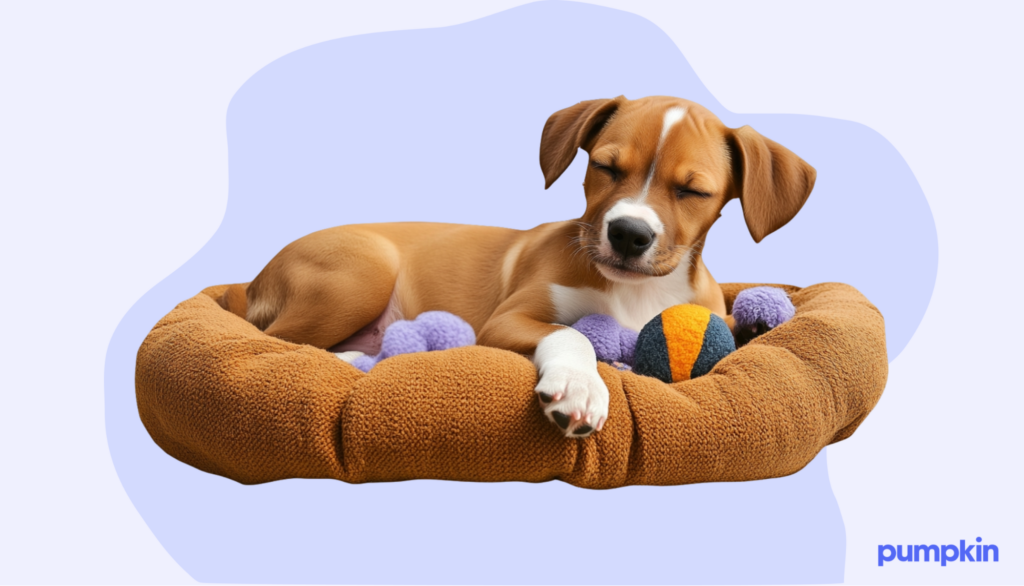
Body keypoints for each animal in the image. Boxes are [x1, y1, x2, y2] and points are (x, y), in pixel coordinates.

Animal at [220, 94, 811, 434]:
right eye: (604, 167)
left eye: (693, 191)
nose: (628, 233)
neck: (636, 291)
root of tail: (255, 280)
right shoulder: (506, 320)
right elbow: (570, 334)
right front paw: (580, 386)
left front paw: (756, 321)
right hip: (362, 272)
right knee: (280, 344)